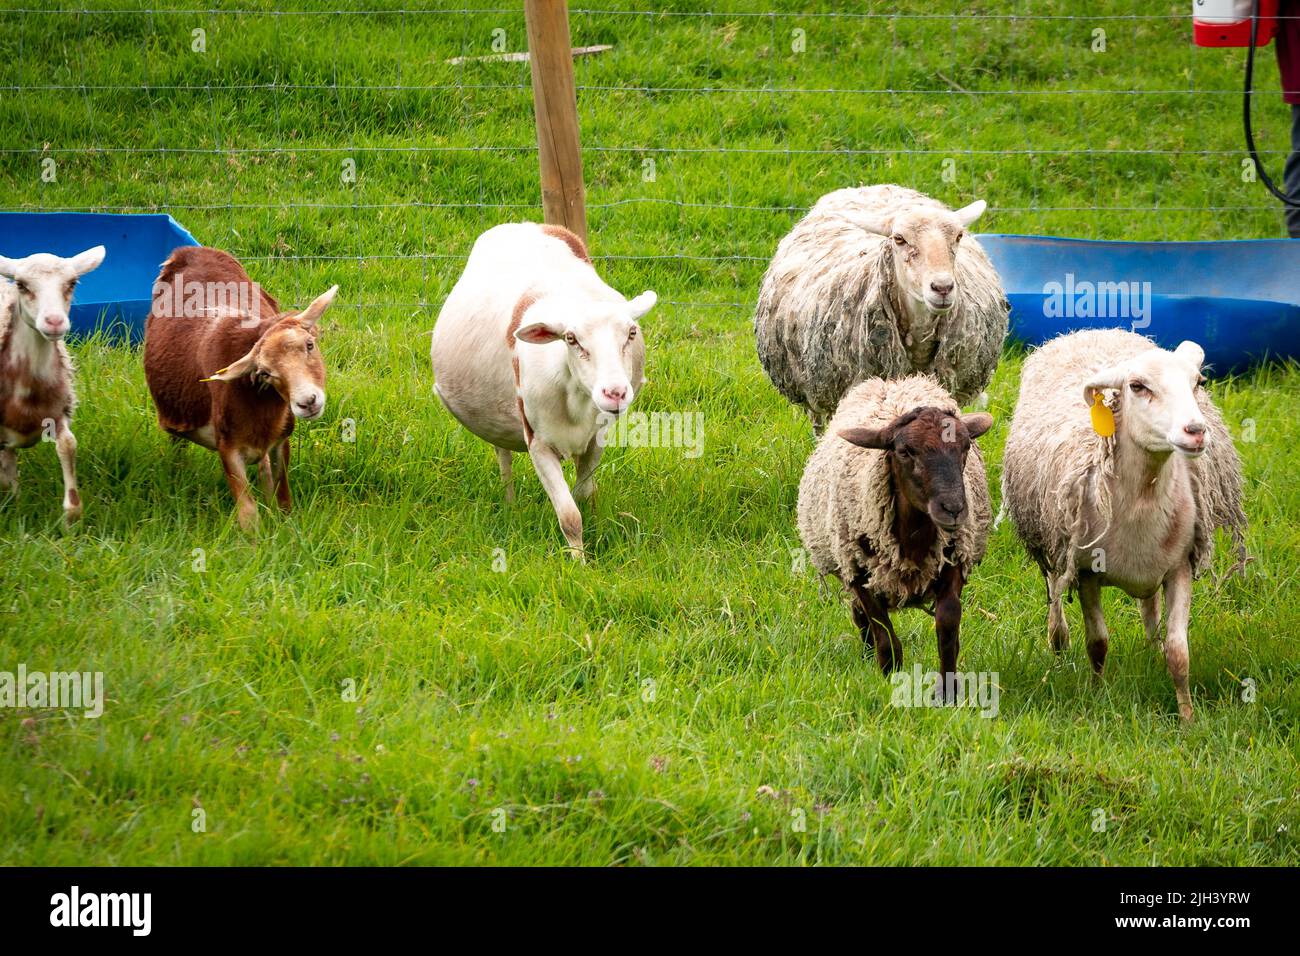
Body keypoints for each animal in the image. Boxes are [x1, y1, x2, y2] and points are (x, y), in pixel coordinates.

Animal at [0, 243, 105, 520]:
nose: (55, 321)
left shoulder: (58, 414)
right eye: (21, 284)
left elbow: (68, 446)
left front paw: (71, 517)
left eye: (72, 282)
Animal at [141, 247, 340, 530]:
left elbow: (283, 499)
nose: (308, 402)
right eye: (265, 373)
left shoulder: (280, 440)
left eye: (310, 344)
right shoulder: (228, 448)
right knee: (176, 443)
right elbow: (248, 514)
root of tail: (190, 251)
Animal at [431, 223, 655, 561]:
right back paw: (510, 506)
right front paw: (579, 564)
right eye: (571, 339)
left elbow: (583, 495)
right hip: (497, 418)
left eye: (631, 333)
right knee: (503, 456)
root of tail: (525, 224)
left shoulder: (596, 438)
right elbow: (570, 516)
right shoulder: (538, 442)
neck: (576, 399)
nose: (615, 393)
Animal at [790, 374, 993, 697]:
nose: (953, 508)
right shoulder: (860, 573)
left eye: (965, 447)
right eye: (905, 451)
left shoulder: (955, 560)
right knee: (860, 615)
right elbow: (884, 634)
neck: (914, 539)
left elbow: (948, 624)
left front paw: (948, 691)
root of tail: (892, 380)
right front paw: (889, 677)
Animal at [998, 332, 1242, 723]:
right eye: (1137, 386)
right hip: (1052, 537)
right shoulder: (1086, 573)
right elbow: (1097, 643)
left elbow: (1178, 651)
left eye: (1198, 383)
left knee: (1149, 610)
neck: (1143, 494)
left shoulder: (1179, 566)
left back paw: (1150, 651)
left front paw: (1187, 719)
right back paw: (1058, 646)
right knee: (1055, 592)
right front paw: (1097, 696)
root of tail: (1092, 331)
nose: (1196, 431)